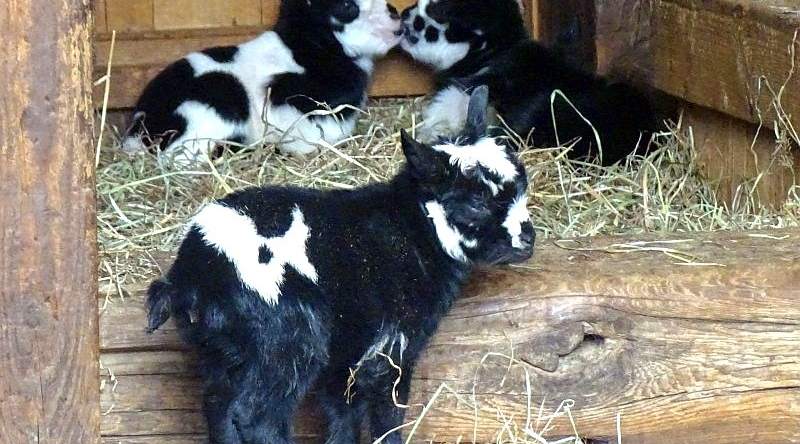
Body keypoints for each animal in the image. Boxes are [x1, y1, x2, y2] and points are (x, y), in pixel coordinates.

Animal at [147, 86, 536, 444]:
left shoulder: (348, 351)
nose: (528, 238)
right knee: (256, 415)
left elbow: (342, 415)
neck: (411, 229)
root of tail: (190, 277)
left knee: (218, 404)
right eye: (476, 202)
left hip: (222, 352)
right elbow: (387, 416)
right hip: (289, 335)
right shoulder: (393, 346)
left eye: (522, 184)